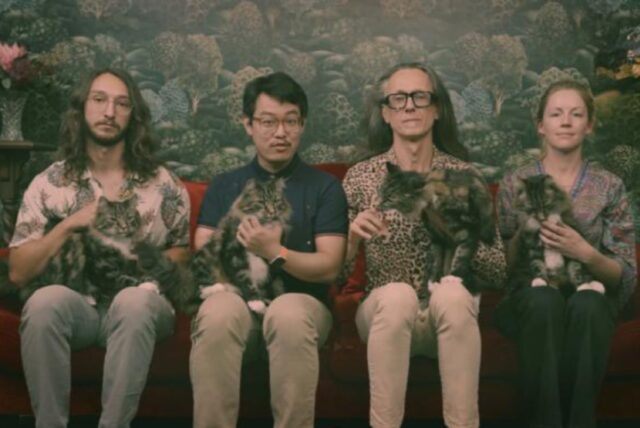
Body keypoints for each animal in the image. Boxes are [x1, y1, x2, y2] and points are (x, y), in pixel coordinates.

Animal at [190, 177, 290, 314]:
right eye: (261, 202)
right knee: (201, 287)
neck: (262, 225)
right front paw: (256, 301)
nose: (271, 211)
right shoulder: (233, 253)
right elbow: (244, 278)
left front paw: (263, 302)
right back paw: (218, 288)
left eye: (276, 201)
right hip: (205, 255)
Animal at [380, 161, 496, 308]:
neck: (432, 203)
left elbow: (461, 256)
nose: (378, 206)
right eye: (381, 194)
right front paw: (433, 282)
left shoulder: (470, 229)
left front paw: (453, 277)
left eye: (389, 199)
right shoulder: (437, 236)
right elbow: (436, 260)